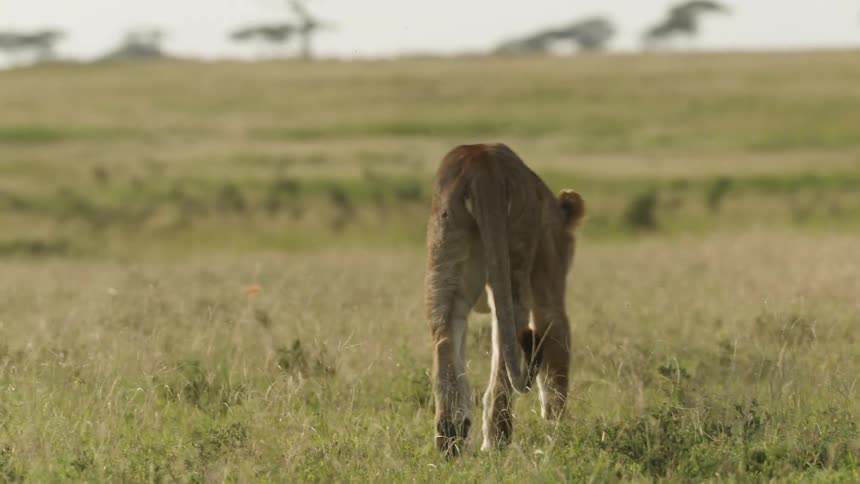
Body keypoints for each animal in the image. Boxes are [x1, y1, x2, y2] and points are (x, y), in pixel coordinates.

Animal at [424, 143, 585, 456]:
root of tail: (481, 161)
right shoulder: (550, 282)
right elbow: (556, 345)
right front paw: (558, 426)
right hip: (515, 260)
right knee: (506, 353)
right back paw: (496, 442)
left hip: (444, 259)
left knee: (445, 337)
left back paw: (450, 438)